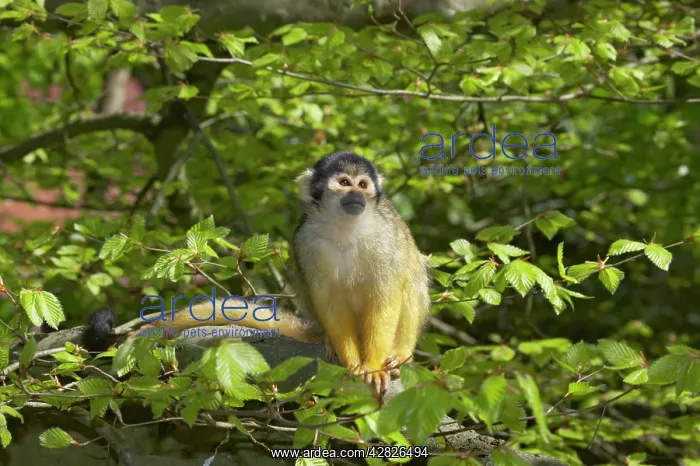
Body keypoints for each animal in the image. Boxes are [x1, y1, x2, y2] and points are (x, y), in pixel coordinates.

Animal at [84, 151, 431, 394]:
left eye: (363, 185)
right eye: (344, 183)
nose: (357, 196)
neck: (345, 226)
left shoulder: (384, 235)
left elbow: (385, 295)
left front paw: (371, 365)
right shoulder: (305, 239)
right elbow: (328, 298)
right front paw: (353, 362)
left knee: (411, 278)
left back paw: (399, 354)